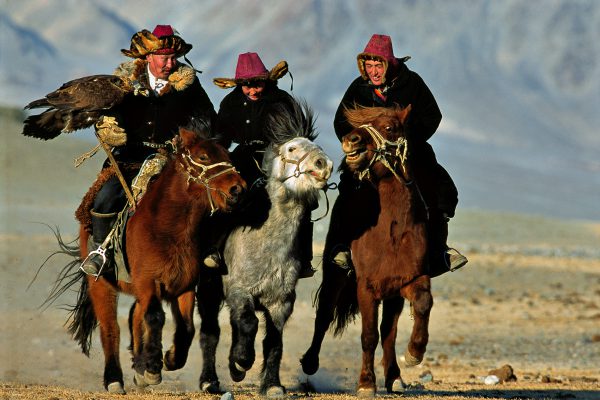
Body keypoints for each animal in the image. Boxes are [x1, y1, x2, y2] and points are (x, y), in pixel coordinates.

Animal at [45, 126, 245, 394]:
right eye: (203, 157)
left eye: (227, 155)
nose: (238, 188)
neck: (167, 228)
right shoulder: (148, 282)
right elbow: (154, 318)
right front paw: (152, 368)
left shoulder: (184, 287)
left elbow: (186, 327)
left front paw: (168, 359)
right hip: (101, 285)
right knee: (111, 328)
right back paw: (115, 379)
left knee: (135, 316)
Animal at [298, 104, 432, 396]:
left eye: (390, 127)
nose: (351, 141)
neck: (392, 231)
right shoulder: (366, 287)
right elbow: (369, 335)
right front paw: (366, 383)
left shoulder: (409, 279)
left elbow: (421, 304)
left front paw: (414, 353)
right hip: (335, 275)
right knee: (324, 314)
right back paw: (310, 362)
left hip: (392, 296)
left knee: (389, 331)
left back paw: (395, 376)